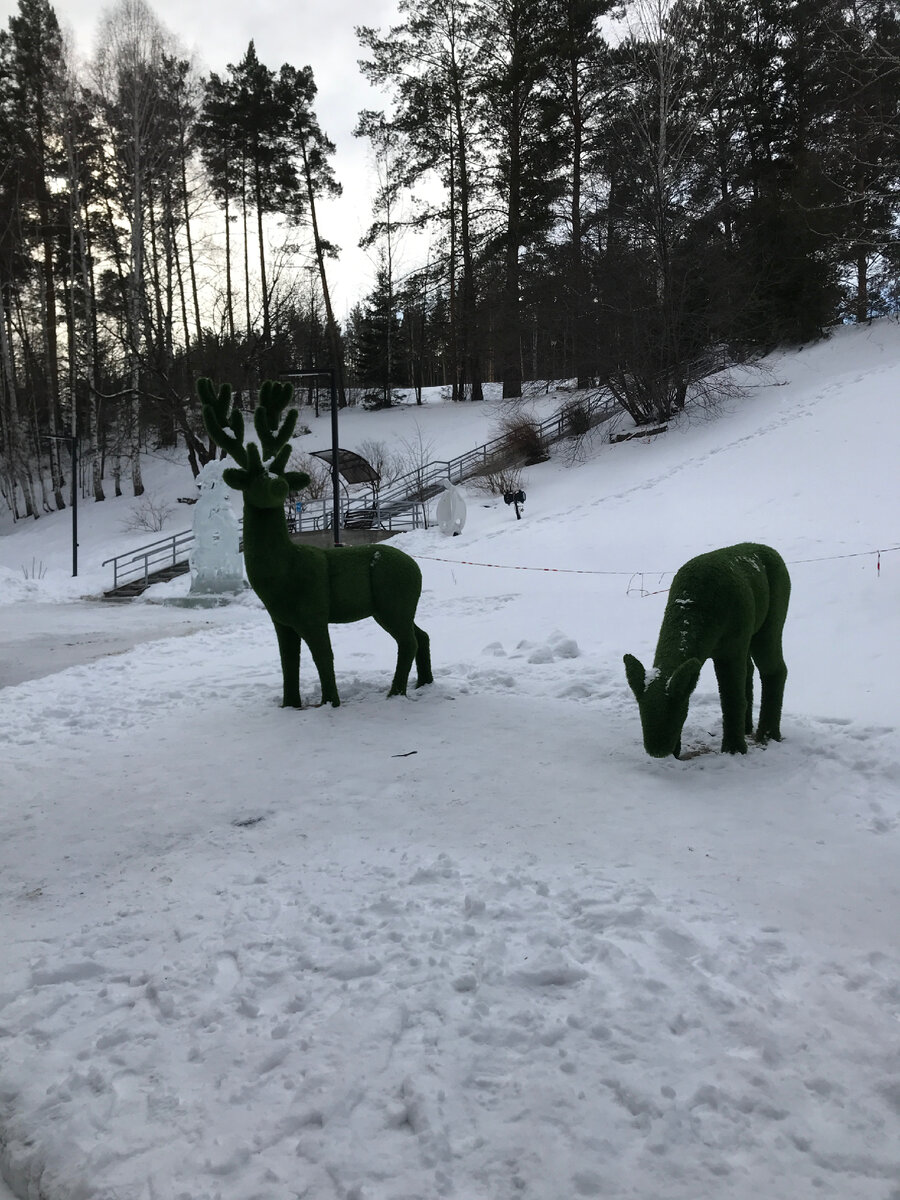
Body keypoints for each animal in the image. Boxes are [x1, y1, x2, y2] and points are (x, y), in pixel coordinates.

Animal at [200, 374, 434, 705]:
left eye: (278, 472)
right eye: (255, 475)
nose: (280, 485)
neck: (282, 573)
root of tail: (417, 569)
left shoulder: (313, 611)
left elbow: (324, 656)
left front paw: (330, 703)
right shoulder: (281, 620)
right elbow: (288, 662)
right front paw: (290, 705)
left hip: (393, 602)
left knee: (408, 641)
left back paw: (395, 693)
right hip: (401, 605)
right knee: (421, 635)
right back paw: (423, 683)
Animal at [628, 547, 787, 758]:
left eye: (676, 711)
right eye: (641, 710)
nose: (657, 751)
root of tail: (774, 551)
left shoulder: (731, 649)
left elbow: (731, 699)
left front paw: (734, 749)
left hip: (769, 625)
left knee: (775, 670)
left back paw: (768, 735)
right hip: (748, 635)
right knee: (751, 669)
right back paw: (747, 728)